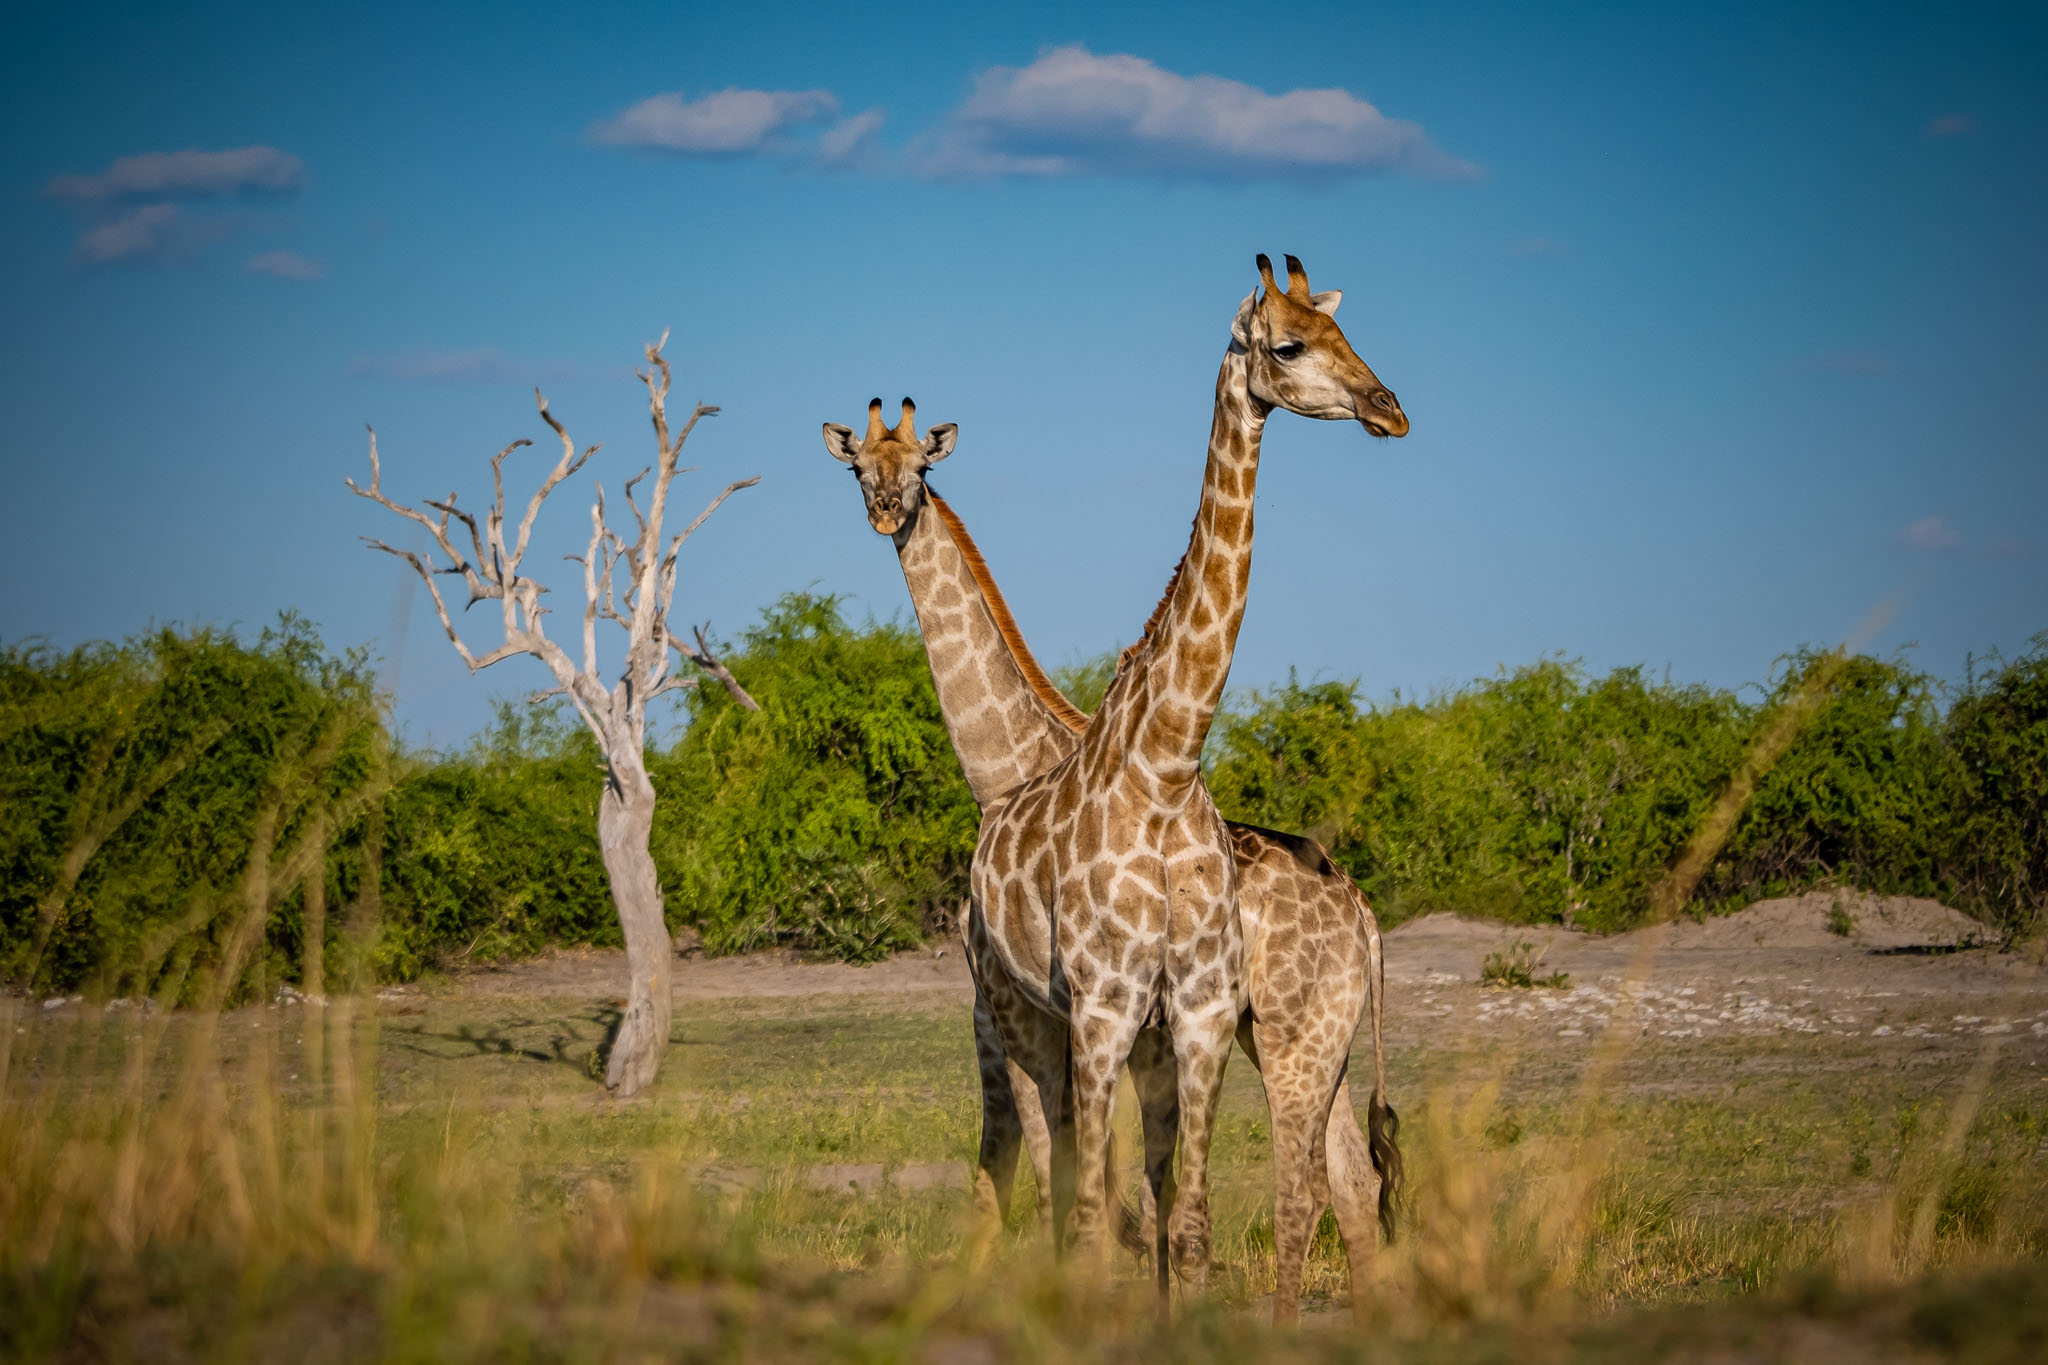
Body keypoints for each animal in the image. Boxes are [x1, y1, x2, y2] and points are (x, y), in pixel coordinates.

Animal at [821, 391, 1403, 1323]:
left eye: (917, 467)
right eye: (856, 467)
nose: (884, 510)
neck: (1004, 765)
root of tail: (1366, 915)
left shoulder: (1001, 1004)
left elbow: (1024, 1167)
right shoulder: (1105, 1022)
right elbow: (1112, 1179)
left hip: (1286, 1035)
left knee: (1306, 1183)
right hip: (1328, 1037)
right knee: (1353, 1178)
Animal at [958, 253, 1405, 1303]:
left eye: (1348, 334)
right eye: (1286, 345)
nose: (1390, 408)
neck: (1165, 764)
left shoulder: (1196, 1014)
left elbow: (1191, 1226)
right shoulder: (1107, 1007)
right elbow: (1096, 1217)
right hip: (1023, 1016)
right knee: (1048, 1177)